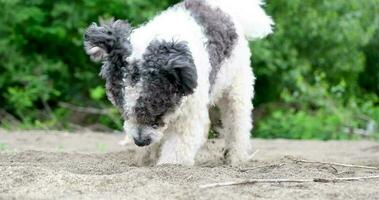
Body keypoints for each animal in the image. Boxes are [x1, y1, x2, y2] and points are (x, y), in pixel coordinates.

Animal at [84, 0, 274, 166]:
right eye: (123, 111)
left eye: (157, 111)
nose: (140, 141)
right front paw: (147, 159)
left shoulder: (188, 112)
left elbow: (179, 143)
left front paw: (170, 164)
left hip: (236, 86)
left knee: (238, 121)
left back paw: (236, 157)